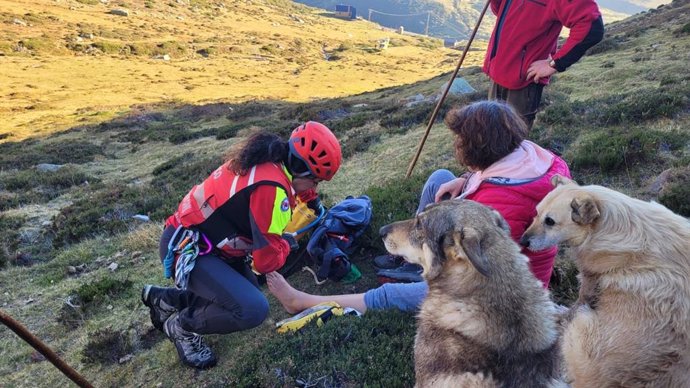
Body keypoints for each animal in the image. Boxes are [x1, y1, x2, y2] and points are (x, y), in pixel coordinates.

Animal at [520, 177, 688, 388]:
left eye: (550, 221)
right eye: (536, 213)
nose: (522, 241)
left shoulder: (590, 279)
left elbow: (576, 303)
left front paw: (562, 312)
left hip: (582, 324)